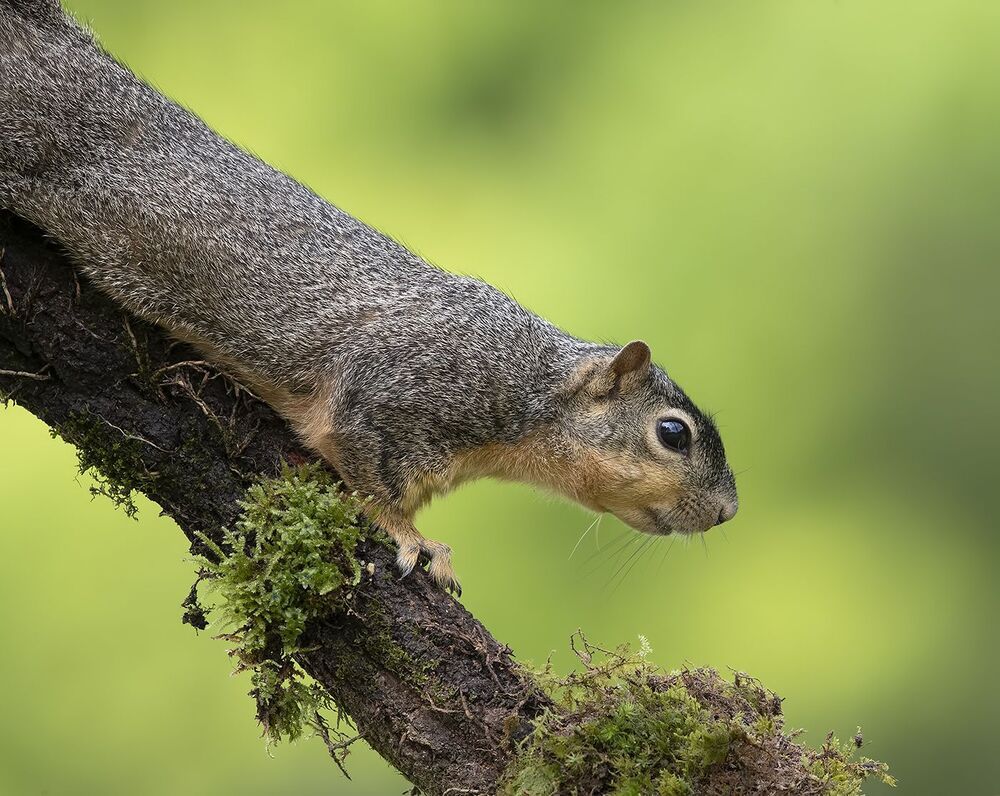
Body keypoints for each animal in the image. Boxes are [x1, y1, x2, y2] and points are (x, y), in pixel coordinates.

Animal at [0, 0, 738, 594]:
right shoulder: (397, 396)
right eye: (673, 433)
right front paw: (413, 539)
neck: (530, 389)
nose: (728, 511)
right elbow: (368, 474)